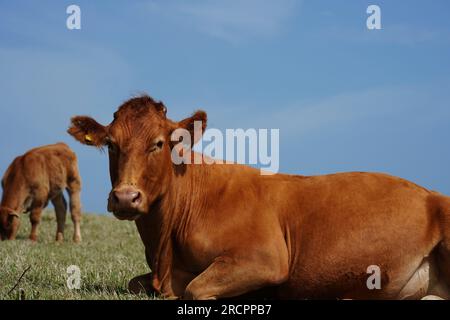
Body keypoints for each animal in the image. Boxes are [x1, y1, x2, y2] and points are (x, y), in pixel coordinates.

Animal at [67, 95, 450, 300]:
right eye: (111, 144)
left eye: (159, 143)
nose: (125, 197)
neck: (165, 248)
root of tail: (429, 193)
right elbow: (135, 283)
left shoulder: (265, 258)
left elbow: (195, 288)